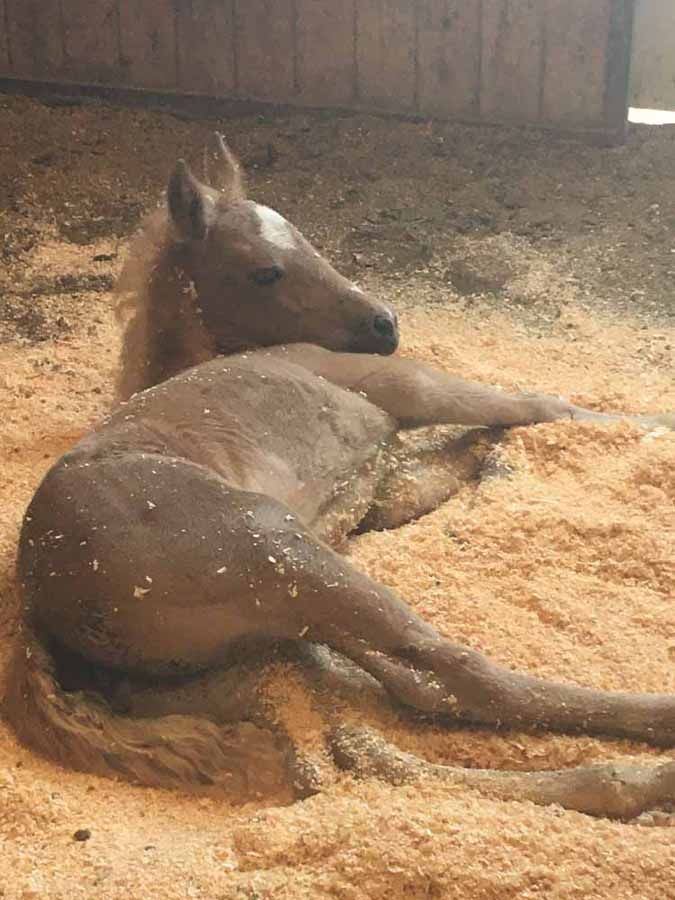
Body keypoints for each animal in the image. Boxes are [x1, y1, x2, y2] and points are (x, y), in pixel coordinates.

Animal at [6, 135, 675, 820]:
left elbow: (447, 462)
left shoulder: (377, 489)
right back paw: (658, 738)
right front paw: (649, 424)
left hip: (274, 645)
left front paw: (495, 457)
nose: (385, 323)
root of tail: (40, 602)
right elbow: (537, 405)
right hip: (283, 553)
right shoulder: (407, 386)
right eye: (266, 270)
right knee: (462, 676)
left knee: (386, 729)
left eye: (305, 239)